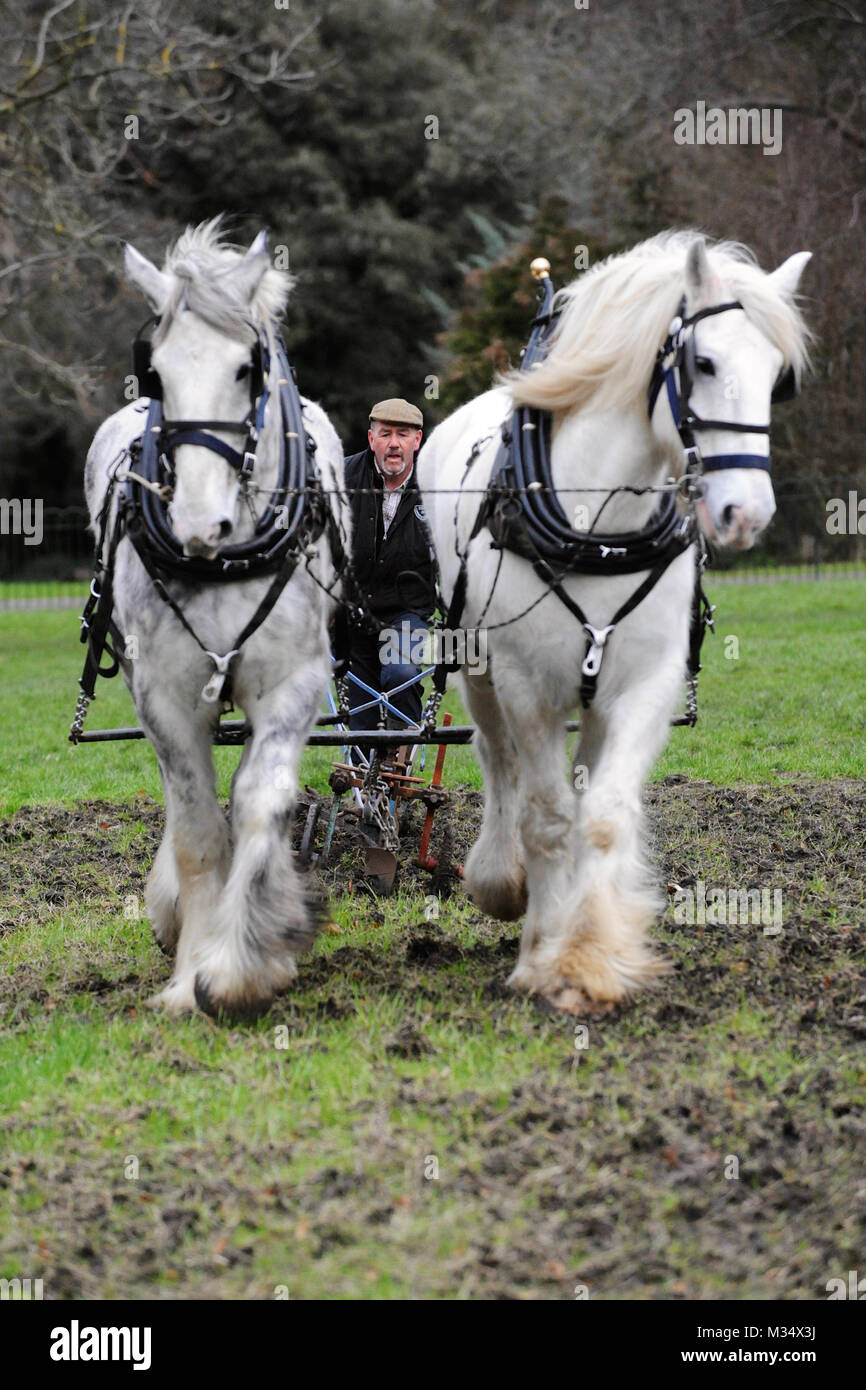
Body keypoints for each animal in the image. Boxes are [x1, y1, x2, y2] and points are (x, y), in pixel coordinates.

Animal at [82, 220, 350, 1018]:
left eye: (244, 370)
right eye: (157, 375)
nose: (201, 523)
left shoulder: (294, 684)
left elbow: (260, 801)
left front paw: (242, 962)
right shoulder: (164, 695)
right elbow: (198, 826)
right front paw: (188, 970)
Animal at [417, 231, 811, 1015]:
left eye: (776, 377)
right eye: (703, 362)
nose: (746, 513)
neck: (599, 525)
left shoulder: (646, 685)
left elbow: (600, 815)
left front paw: (589, 957)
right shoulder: (528, 685)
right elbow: (544, 815)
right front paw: (542, 951)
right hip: (478, 667)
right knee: (498, 761)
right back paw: (504, 880)